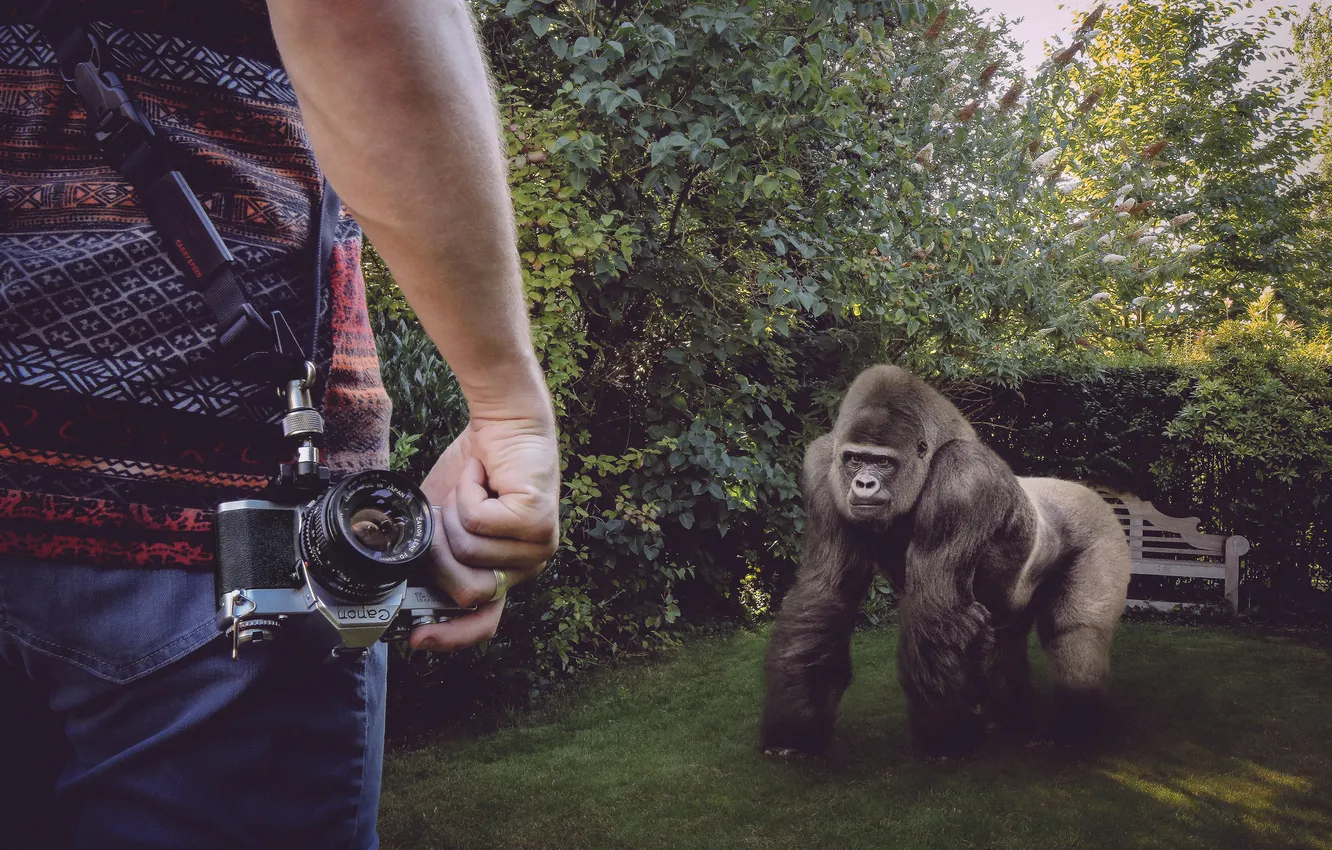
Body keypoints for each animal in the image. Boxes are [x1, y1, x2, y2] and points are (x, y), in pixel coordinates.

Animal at [761, 365, 1130, 757]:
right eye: (854, 459)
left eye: (883, 462)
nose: (863, 484)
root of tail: (1092, 492)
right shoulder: (822, 469)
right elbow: (825, 593)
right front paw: (795, 731)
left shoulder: (963, 477)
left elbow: (936, 605)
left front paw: (947, 739)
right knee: (1006, 642)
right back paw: (1013, 718)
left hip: (1102, 530)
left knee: (1075, 632)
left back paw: (1075, 723)